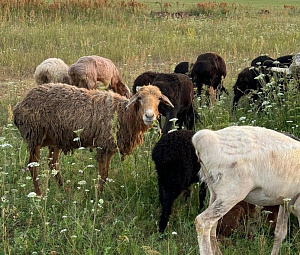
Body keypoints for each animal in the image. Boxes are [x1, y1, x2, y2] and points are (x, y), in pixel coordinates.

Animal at [13, 83, 173, 195]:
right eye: (139, 98)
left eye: (159, 99)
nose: (149, 116)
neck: (124, 113)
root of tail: (19, 105)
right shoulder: (104, 145)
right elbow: (103, 175)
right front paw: (98, 198)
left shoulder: (109, 147)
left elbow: (105, 174)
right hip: (34, 136)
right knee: (33, 167)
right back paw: (39, 194)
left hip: (56, 138)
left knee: (53, 163)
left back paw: (63, 188)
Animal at [192, 126, 300, 255]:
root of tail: (202, 139)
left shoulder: (285, 202)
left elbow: (280, 233)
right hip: (232, 192)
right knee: (203, 222)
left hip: (215, 191)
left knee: (213, 225)